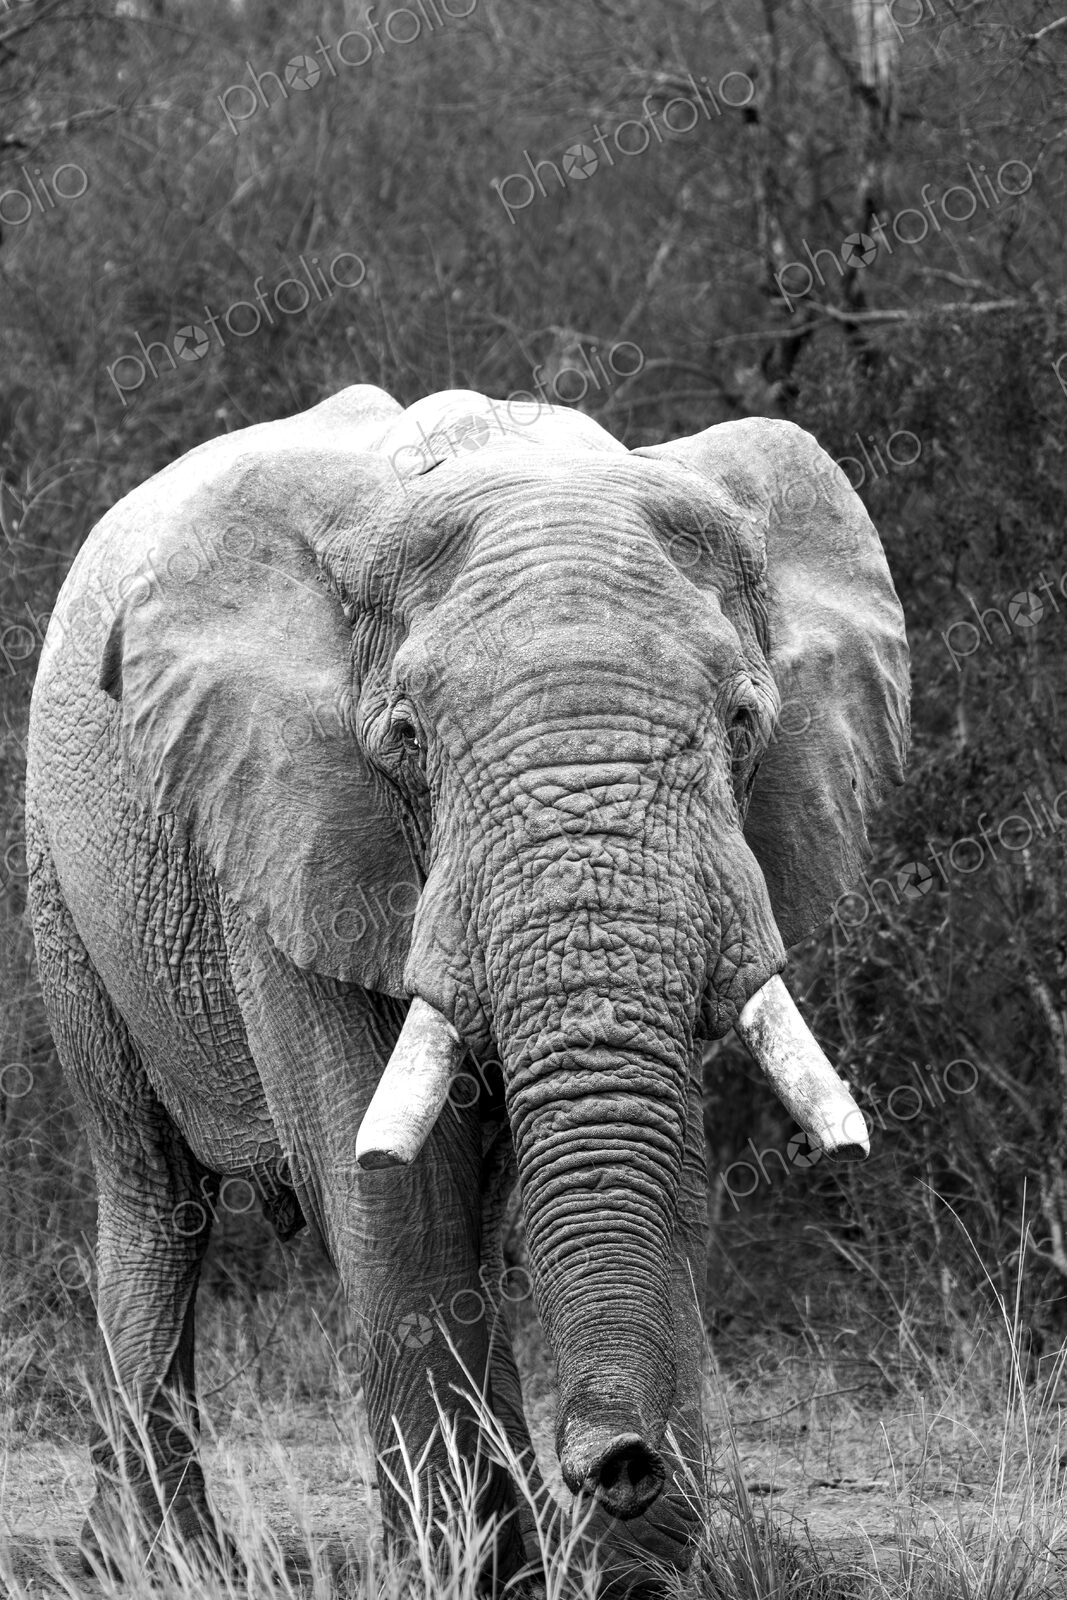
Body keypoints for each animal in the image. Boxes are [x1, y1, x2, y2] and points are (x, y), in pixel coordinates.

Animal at [24, 384, 909, 1590]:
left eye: (742, 722)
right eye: (406, 737)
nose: (618, 1462)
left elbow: (657, 1153)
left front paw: (610, 1566)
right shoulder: (285, 827)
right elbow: (389, 1184)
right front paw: (457, 1571)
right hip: (64, 873)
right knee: (154, 1194)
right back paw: (158, 1561)